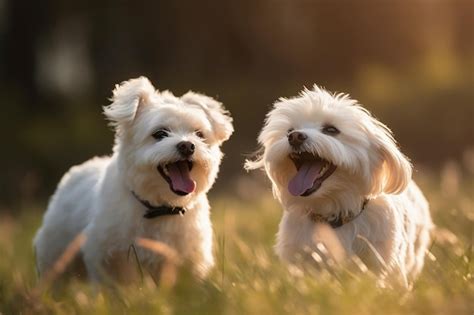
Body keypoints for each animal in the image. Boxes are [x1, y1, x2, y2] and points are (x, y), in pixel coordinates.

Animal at [33, 77, 233, 284]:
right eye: (160, 133)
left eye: (199, 134)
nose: (187, 145)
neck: (160, 207)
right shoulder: (107, 255)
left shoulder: (188, 257)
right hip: (55, 251)